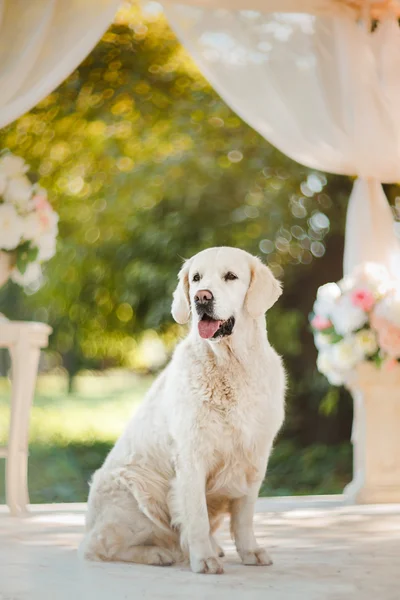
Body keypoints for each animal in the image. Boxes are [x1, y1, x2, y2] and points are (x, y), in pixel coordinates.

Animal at [81, 246, 286, 576]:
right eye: (197, 278)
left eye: (231, 276)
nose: (201, 297)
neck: (230, 366)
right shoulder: (191, 456)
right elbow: (197, 516)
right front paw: (203, 559)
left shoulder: (255, 456)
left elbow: (244, 515)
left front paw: (250, 551)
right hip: (135, 487)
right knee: (99, 546)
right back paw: (158, 554)